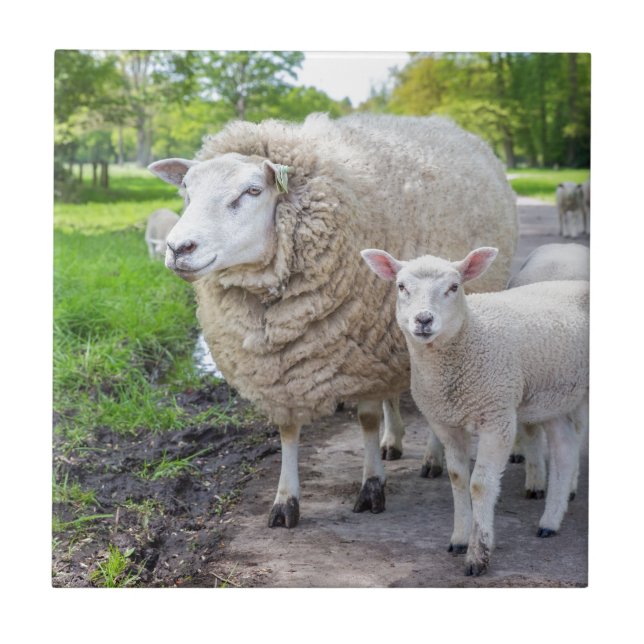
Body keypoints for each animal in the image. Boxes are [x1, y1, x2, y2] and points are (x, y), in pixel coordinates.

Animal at [147, 113, 518, 528]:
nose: (178, 248)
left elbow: (368, 419)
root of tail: (441, 123)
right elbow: (288, 430)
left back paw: (432, 457)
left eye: (253, 191)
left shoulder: (366, 349)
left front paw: (372, 486)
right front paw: (285, 501)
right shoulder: (287, 368)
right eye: (187, 191)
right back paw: (394, 440)